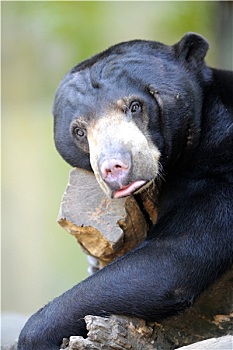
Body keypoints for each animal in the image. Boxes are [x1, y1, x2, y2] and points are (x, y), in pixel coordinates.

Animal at [17, 33, 232, 350]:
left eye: (135, 106)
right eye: (79, 131)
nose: (114, 168)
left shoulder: (217, 172)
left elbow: (171, 261)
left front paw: (35, 336)